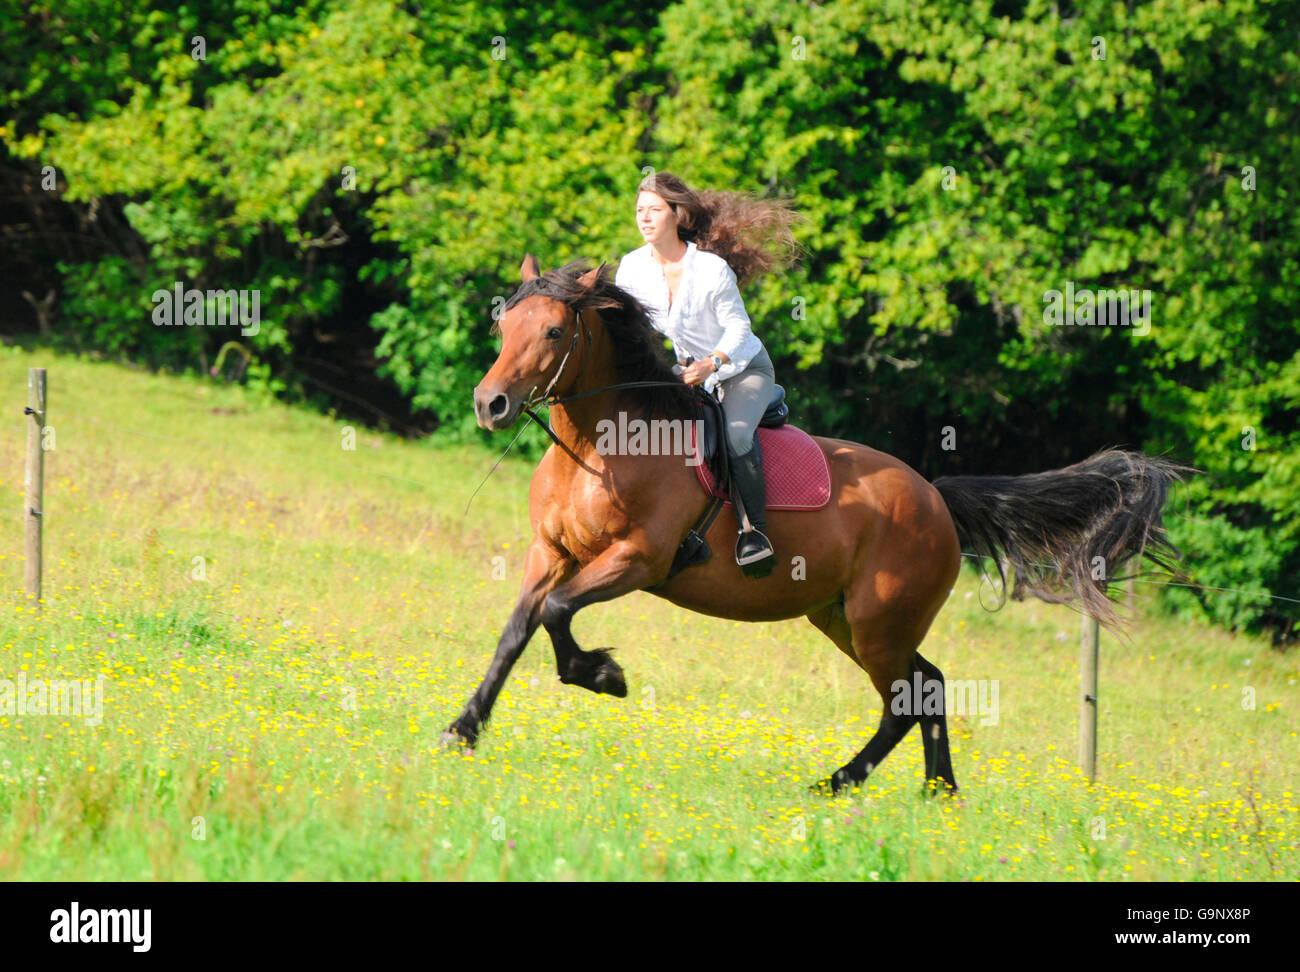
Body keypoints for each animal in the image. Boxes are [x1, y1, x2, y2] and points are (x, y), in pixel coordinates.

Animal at [443, 255, 1189, 794]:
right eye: (504, 328)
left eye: (554, 332)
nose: (490, 404)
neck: (604, 447)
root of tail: (936, 497)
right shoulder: (550, 553)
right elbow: (519, 629)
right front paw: (464, 728)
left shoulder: (637, 559)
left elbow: (557, 615)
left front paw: (604, 675)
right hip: (845, 619)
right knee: (928, 686)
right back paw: (935, 794)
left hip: (876, 622)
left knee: (906, 701)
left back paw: (840, 783)